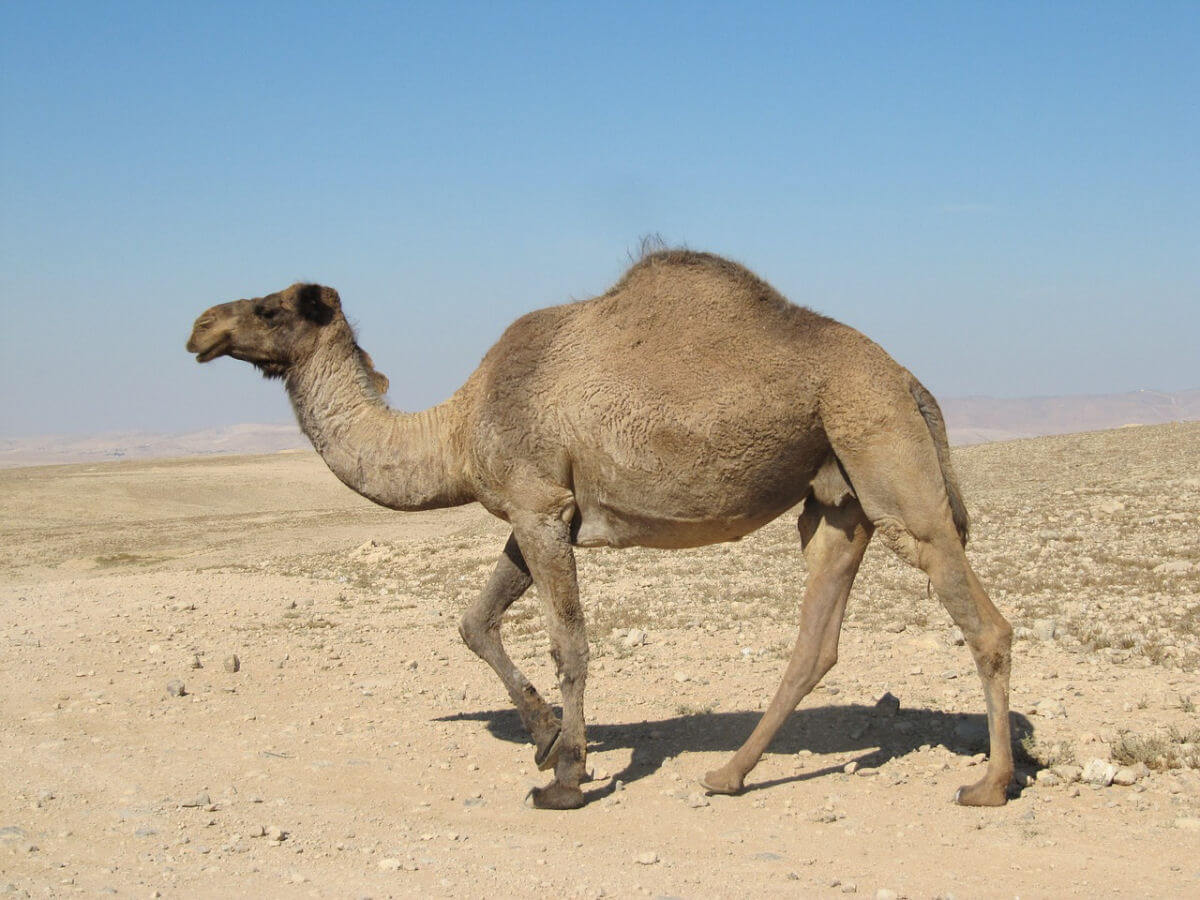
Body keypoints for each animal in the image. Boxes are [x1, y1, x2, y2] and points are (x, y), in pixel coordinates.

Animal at [184, 250, 1012, 816]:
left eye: (270, 308)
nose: (199, 326)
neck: (456, 428)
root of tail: (909, 380)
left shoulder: (540, 507)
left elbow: (570, 646)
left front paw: (567, 776)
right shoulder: (536, 512)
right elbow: (474, 621)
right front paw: (545, 736)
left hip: (881, 448)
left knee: (981, 618)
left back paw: (991, 783)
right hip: (836, 492)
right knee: (817, 640)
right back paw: (727, 774)